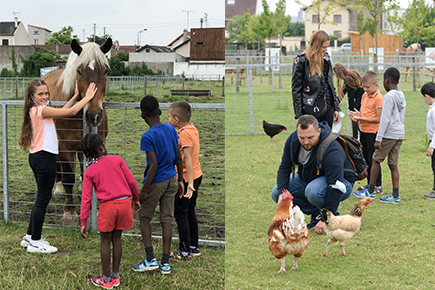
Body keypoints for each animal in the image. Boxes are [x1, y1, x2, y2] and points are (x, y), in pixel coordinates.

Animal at [42, 38, 111, 224]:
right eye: (79, 71)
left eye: (106, 71)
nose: (94, 115)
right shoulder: (64, 146)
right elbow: (68, 177)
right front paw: (70, 212)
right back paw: (59, 189)